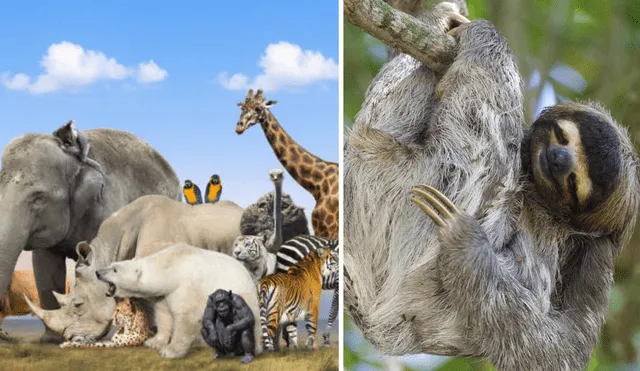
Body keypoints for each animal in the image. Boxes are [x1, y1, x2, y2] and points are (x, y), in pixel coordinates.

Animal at [93, 243, 262, 358]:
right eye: (112, 265)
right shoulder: (164, 294)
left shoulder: (185, 285)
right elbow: (163, 315)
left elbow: (186, 318)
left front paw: (169, 351)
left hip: (245, 298)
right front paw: (154, 342)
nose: (98, 273)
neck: (170, 268)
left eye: (115, 270)